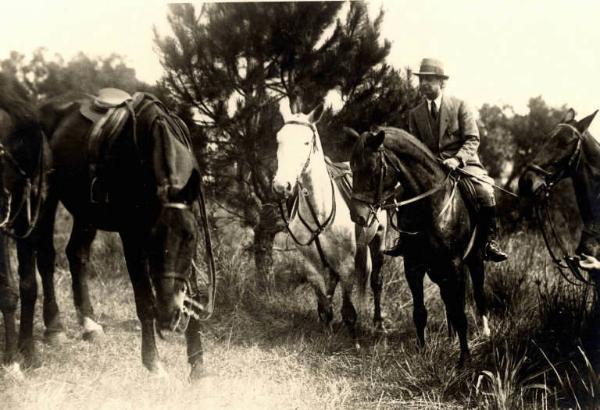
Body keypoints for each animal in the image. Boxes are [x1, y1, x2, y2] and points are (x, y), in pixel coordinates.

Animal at [31, 90, 209, 378]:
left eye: (190, 237)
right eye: (151, 238)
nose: (168, 315)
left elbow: (191, 295)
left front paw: (198, 368)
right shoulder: (131, 237)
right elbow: (144, 301)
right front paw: (153, 363)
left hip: (86, 212)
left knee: (76, 254)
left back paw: (90, 325)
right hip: (46, 198)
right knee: (46, 257)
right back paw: (54, 328)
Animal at [274, 97, 386, 342]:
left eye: (306, 142)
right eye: (279, 140)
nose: (281, 186)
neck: (320, 210)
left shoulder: (346, 264)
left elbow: (349, 308)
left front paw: (354, 339)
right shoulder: (311, 265)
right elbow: (324, 301)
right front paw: (326, 332)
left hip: (379, 238)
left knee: (376, 281)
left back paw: (379, 324)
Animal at [350, 127, 490, 366]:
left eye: (372, 170)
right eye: (351, 167)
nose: (357, 216)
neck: (431, 205)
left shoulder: (455, 266)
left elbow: (460, 313)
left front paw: (465, 360)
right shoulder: (413, 266)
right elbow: (420, 312)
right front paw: (422, 352)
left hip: (475, 260)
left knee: (478, 296)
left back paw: (485, 334)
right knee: (447, 301)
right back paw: (451, 336)